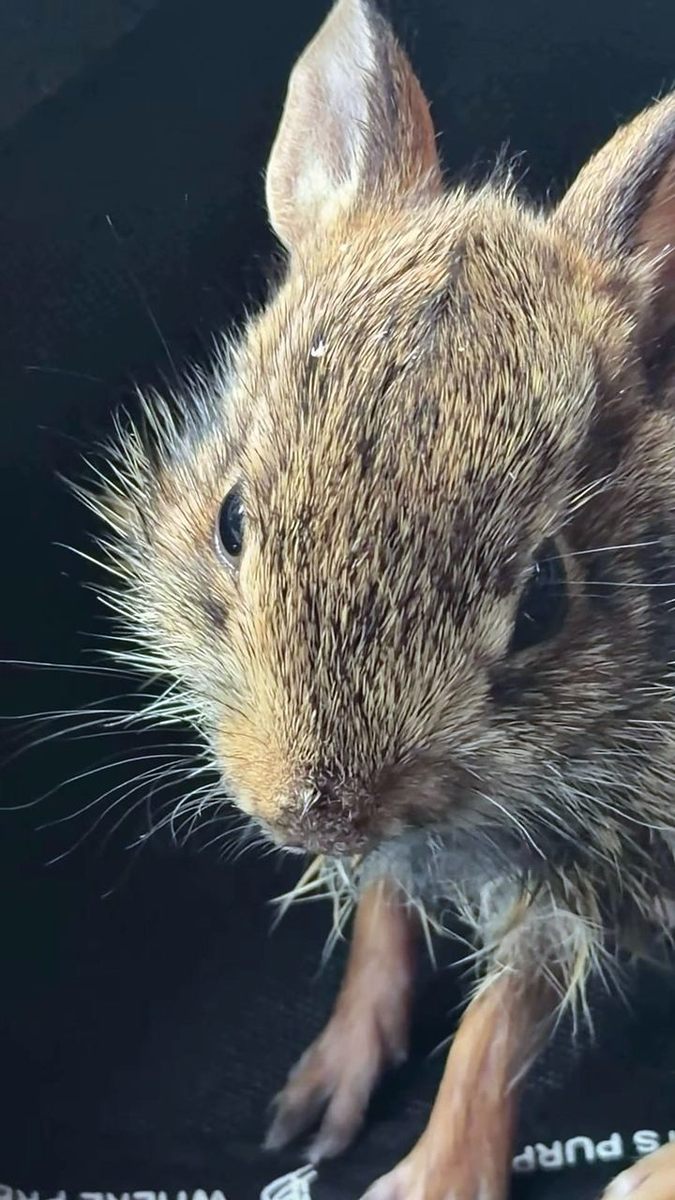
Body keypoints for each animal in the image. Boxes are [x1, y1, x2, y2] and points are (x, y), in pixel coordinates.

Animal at [82, 0, 675, 1196]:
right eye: (230, 520)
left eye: (546, 598)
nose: (311, 810)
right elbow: (384, 912)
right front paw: (326, 1086)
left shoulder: (599, 849)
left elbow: (502, 1016)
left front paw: (432, 1177)